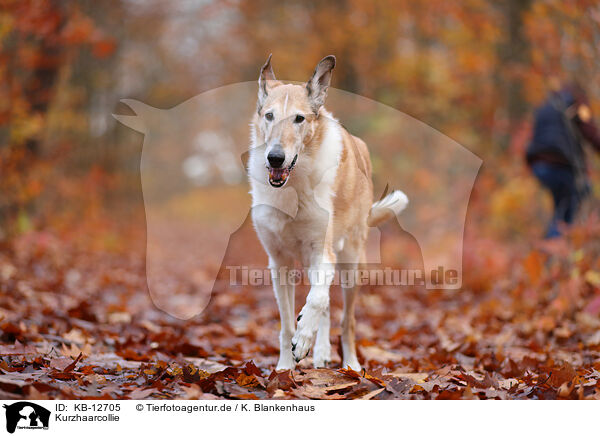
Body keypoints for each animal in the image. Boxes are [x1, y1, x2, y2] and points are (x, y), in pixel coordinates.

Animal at [247, 52, 408, 370]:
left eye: (299, 118)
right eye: (269, 116)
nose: (275, 157)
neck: (293, 187)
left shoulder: (322, 251)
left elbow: (318, 300)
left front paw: (303, 338)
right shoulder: (279, 262)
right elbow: (287, 324)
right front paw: (284, 366)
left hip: (350, 263)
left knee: (347, 320)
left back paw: (350, 364)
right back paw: (320, 353)